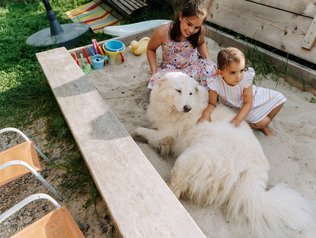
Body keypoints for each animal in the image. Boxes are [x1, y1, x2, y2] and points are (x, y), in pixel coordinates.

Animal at [134, 71, 316, 237]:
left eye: (190, 93)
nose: (187, 108)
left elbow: (146, 132)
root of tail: (253, 173)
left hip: (189, 159)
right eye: (178, 91)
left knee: (177, 188)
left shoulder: (165, 132)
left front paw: (138, 132)